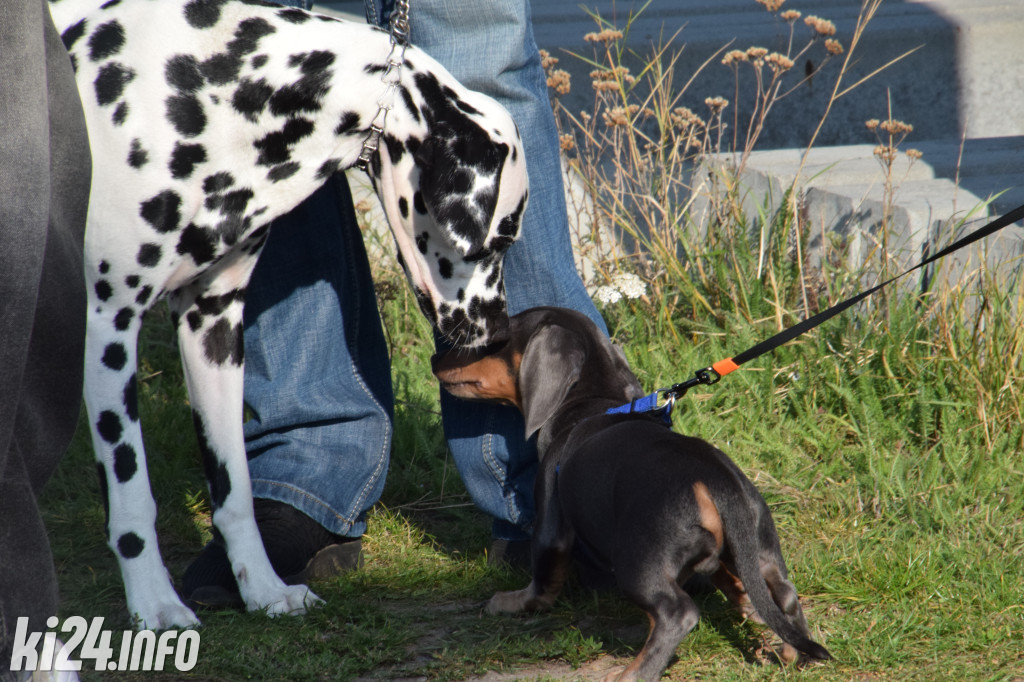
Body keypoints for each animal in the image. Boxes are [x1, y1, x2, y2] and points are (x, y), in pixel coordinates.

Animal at [48, 0, 528, 626]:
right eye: (500, 237)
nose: (495, 332)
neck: (211, 84)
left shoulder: (213, 323)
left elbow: (235, 488)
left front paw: (264, 589)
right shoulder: (107, 326)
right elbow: (132, 498)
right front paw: (155, 604)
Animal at [432, 307, 831, 679]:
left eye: (498, 339)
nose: (436, 359)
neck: (591, 403)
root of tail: (714, 479)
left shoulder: (550, 525)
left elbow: (541, 584)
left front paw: (509, 602)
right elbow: (728, 578)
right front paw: (746, 601)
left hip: (639, 563)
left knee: (678, 614)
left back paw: (634, 673)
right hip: (761, 545)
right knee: (785, 595)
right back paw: (793, 653)